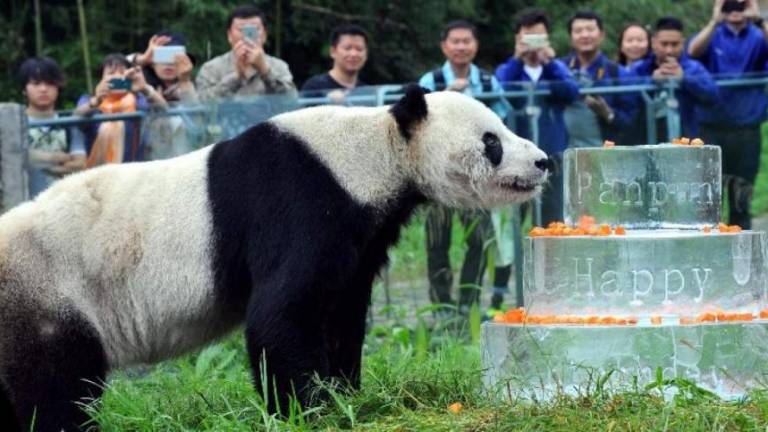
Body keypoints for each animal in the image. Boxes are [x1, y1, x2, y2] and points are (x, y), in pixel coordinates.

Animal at [0, 85, 547, 431]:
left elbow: (341, 310)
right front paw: (308, 409)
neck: (375, 151)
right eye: (492, 140)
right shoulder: (299, 199)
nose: (542, 161)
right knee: (58, 385)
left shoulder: (358, 233)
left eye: (502, 127)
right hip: (48, 294)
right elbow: (282, 311)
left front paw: (345, 392)